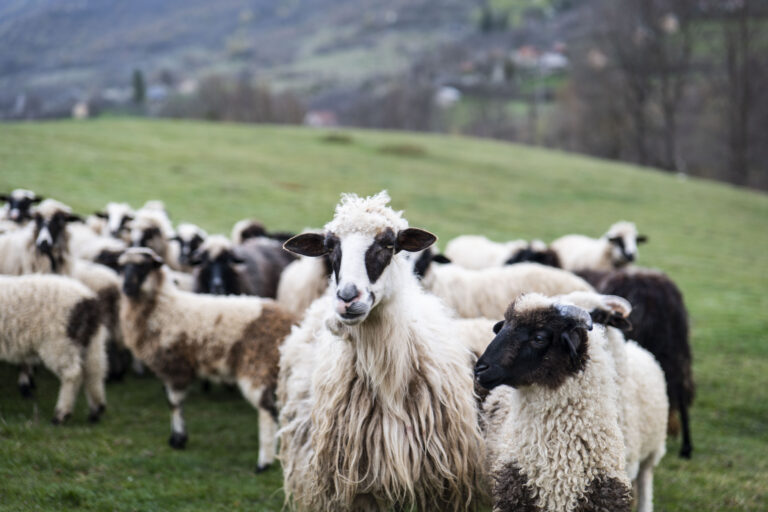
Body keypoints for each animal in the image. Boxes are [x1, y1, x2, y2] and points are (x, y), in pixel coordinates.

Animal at [0, 276, 108, 424]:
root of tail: (87, 300)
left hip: (59, 342)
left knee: (73, 375)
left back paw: (61, 415)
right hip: (91, 341)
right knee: (94, 372)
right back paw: (95, 411)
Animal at [118, 248, 296, 472]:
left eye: (142, 267)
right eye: (122, 267)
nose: (126, 288)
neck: (162, 306)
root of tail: (289, 322)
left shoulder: (176, 366)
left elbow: (174, 403)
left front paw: (178, 439)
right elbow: (172, 403)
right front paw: (176, 439)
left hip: (256, 368)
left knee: (268, 412)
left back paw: (263, 462)